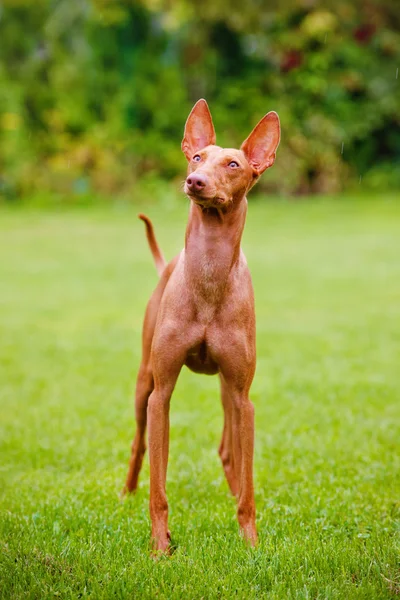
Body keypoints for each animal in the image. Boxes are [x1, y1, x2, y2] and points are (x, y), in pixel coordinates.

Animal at [123, 99, 280, 552]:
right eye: (196, 156)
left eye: (233, 164)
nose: (195, 181)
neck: (208, 271)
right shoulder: (161, 394)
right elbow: (158, 486)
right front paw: (161, 548)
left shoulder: (245, 398)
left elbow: (248, 484)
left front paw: (250, 542)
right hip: (143, 383)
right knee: (138, 443)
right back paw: (126, 490)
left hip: (229, 389)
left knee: (229, 450)